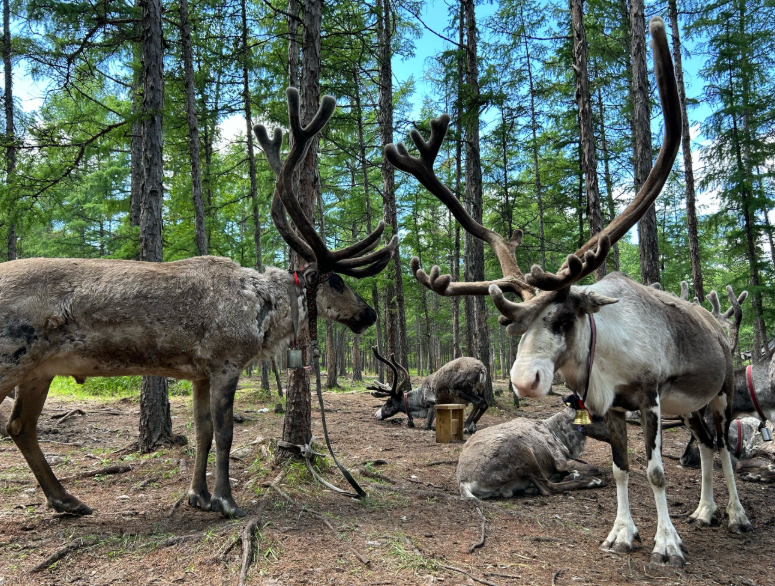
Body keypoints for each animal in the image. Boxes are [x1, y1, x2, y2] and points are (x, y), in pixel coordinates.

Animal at [0, 89, 396, 519]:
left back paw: (66, 500)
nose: (369, 313)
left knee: (20, 427)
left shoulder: (199, 373)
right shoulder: (225, 362)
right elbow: (225, 432)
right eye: (337, 281)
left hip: (39, 370)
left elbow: (202, 431)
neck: (264, 313)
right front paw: (226, 500)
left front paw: (198, 495)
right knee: (17, 425)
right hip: (11, 360)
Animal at [457, 407, 611, 499]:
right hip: (525, 455)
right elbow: (594, 468)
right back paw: (593, 482)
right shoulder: (560, 461)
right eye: (596, 416)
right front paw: (576, 474)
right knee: (547, 488)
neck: (558, 433)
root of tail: (465, 482)